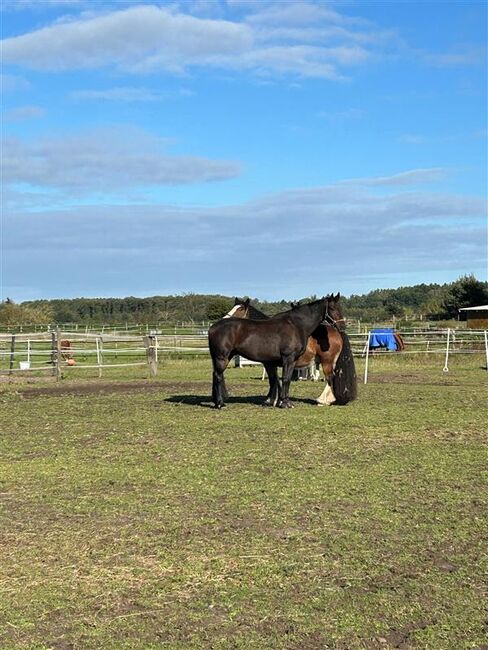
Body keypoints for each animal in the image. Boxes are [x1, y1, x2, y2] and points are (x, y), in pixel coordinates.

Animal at [223, 294, 356, 404]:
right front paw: (274, 399)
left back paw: (323, 400)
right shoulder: (272, 363)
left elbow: (276, 380)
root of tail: (337, 332)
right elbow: (276, 380)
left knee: (330, 377)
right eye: (234, 307)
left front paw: (274, 399)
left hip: (327, 361)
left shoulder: (270, 363)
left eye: (240, 309)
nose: (342, 325)